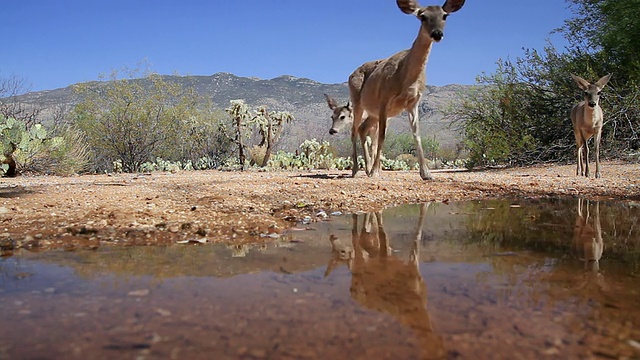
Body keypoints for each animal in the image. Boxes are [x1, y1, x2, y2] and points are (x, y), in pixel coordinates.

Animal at [344, 0, 464, 180]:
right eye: (422, 16)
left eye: (445, 15)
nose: (437, 33)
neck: (405, 77)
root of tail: (351, 74)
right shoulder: (384, 100)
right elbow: (382, 135)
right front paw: (376, 171)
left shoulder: (413, 102)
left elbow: (417, 134)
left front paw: (426, 173)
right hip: (357, 100)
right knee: (354, 130)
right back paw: (356, 170)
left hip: (373, 112)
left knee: (362, 128)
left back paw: (367, 169)